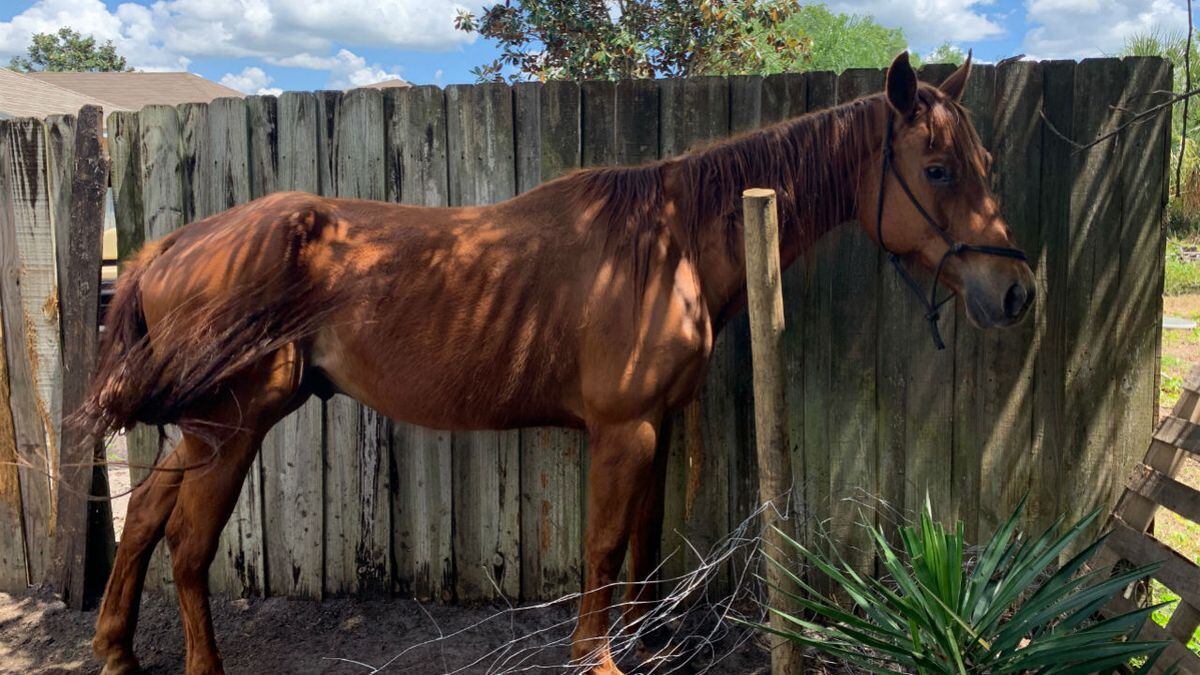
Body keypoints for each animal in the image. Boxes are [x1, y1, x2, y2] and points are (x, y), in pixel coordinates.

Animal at [79, 53, 1032, 672]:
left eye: (988, 162)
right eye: (937, 168)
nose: (1015, 292)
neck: (668, 244)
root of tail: (168, 247)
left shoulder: (656, 424)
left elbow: (646, 535)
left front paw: (650, 639)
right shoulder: (620, 429)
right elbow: (605, 543)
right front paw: (597, 656)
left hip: (203, 427)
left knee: (147, 515)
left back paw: (116, 648)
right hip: (232, 423)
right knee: (189, 544)